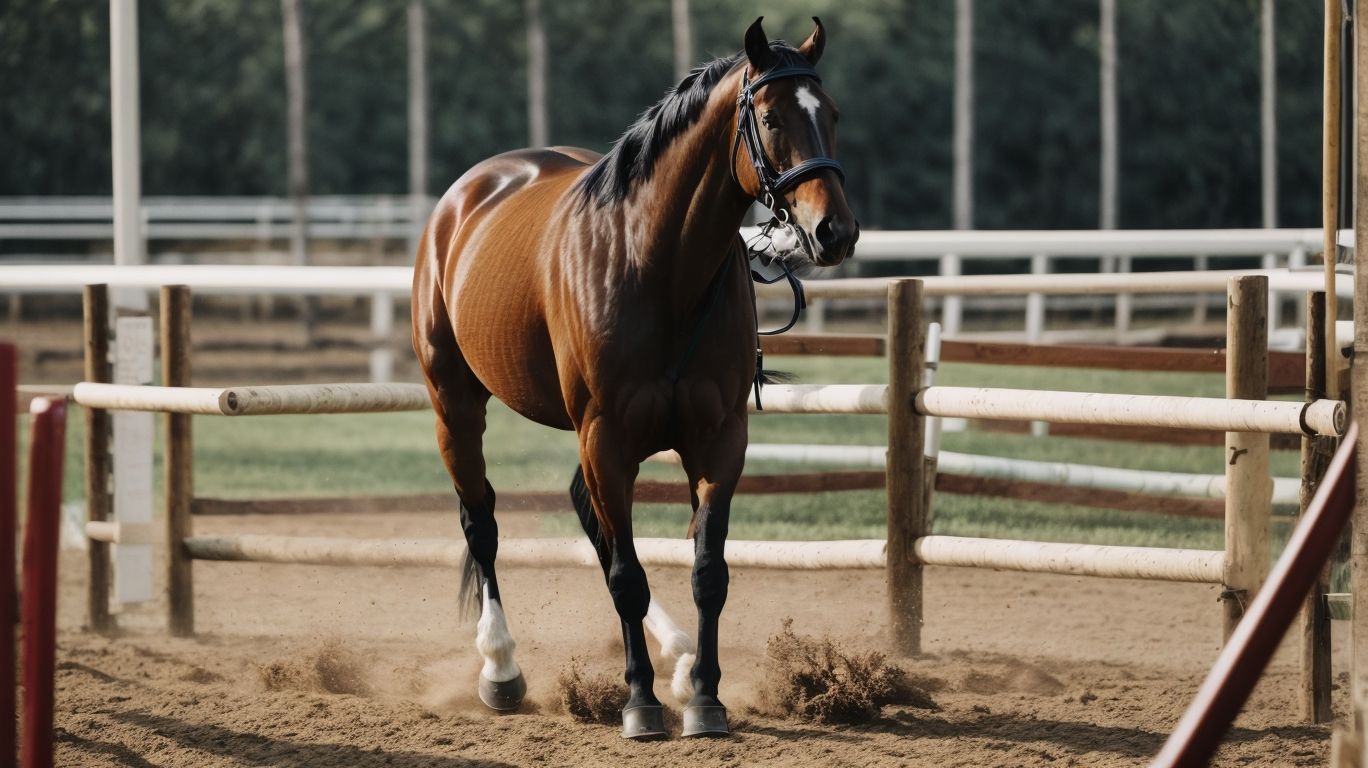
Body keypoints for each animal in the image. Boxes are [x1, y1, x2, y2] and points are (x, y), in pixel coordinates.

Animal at [411, 16, 857, 739]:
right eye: (770, 117)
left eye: (832, 114)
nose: (834, 231)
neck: (657, 266)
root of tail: (467, 195)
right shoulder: (607, 436)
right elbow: (626, 576)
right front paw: (640, 703)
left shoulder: (718, 439)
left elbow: (708, 572)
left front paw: (704, 695)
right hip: (457, 405)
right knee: (482, 523)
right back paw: (501, 668)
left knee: (588, 518)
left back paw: (674, 655)